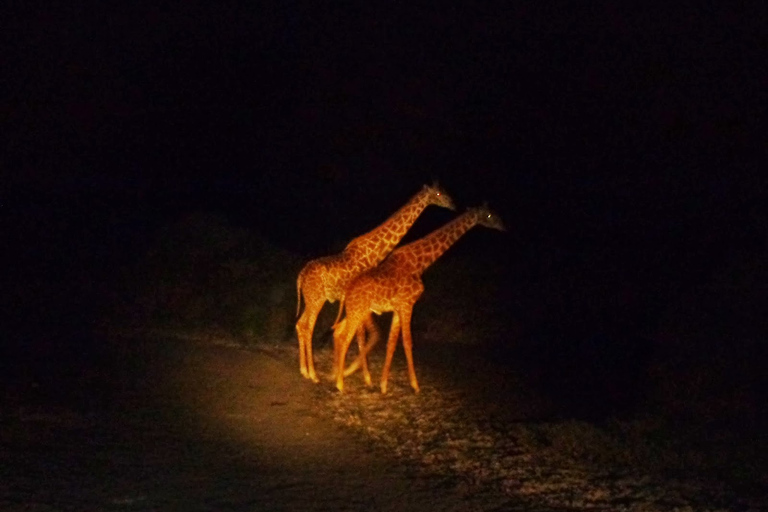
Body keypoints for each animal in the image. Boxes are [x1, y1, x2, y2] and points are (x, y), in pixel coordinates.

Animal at [292, 183, 450, 380]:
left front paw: (347, 372)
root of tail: (301, 275)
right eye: (439, 193)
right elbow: (362, 335)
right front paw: (360, 375)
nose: (452, 204)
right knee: (308, 327)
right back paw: (313, 374)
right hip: (317, 299)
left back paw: (304, 370)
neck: (375, 251)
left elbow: (360, 335)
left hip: (310, 299)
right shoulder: (361, 300)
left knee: (300, 325)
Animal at [334, 204, 508, 392]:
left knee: (340, 333)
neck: (420, 264)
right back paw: (340, 383)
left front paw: (384, 385)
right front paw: (415, 385)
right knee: (345, 338)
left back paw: (339, 376)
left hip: (356, 311)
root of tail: (347, 290)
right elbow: (408, 342)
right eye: (489, 215)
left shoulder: (398, 309)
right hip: (358, 311)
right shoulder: (408, 305)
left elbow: (391, 344)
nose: (503, 227)